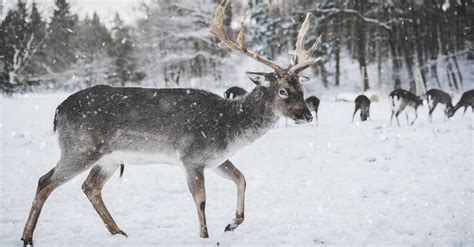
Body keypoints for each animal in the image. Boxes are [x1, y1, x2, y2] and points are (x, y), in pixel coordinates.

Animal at [19, 0, 322, 245]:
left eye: (301, 87)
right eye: (283, 90)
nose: (307, 115)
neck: (229, 127)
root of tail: (58, 110)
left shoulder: (215, 159)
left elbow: (241, 178)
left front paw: (232, 224)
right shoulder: (192, 156)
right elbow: (201, 200)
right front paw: (205, 236)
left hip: (109, 157)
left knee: (90, 187)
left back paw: (119, 233)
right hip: (80, 147)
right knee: (45, 181)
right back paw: (28, 237)